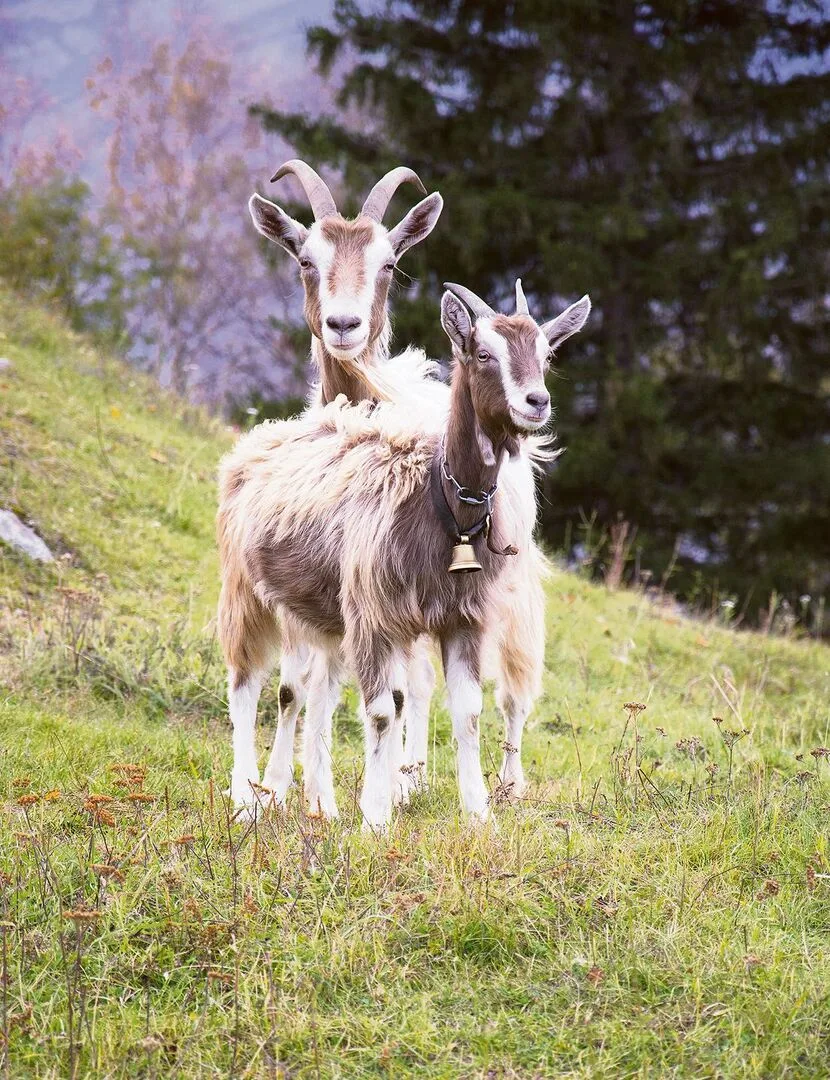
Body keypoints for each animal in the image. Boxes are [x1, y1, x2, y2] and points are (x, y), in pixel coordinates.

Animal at [217, 280, 590, 827]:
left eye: (545, 355)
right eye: (483, 353)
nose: (536, 402)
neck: (441, 502)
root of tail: (261, 438)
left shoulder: (464, 620)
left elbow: (467, 712)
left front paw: (478, 814)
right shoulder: (375, 615)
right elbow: (380, 711)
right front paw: (376, 816)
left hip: (325, 614)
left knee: (316, 692)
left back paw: (321, 804)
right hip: (245, 589)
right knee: (245, 683)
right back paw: (246, 800)